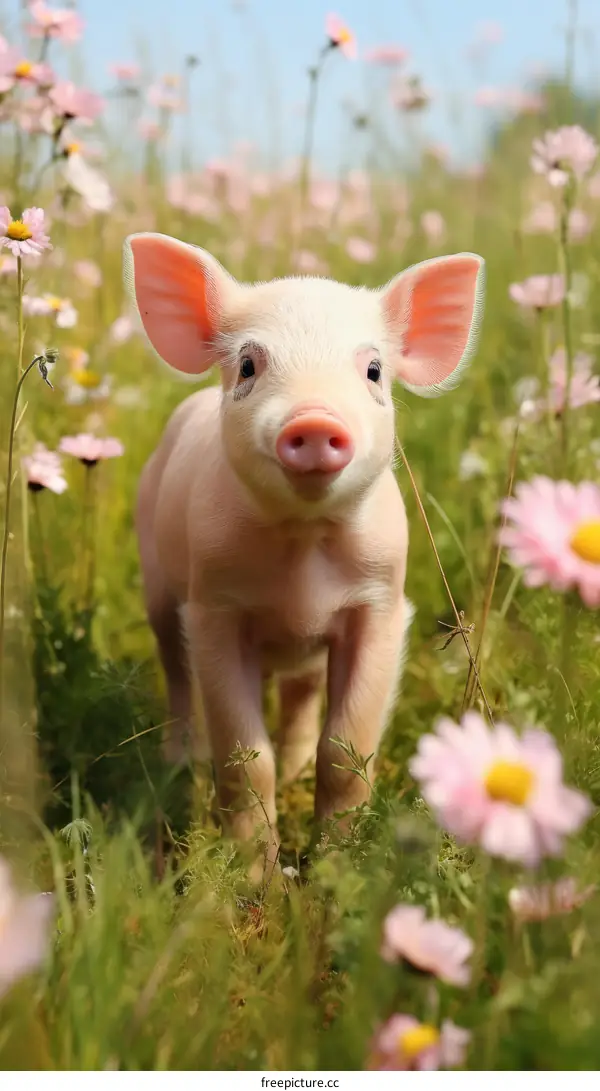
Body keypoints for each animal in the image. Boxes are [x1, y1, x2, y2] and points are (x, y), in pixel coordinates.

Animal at [123, 233, 485, 875]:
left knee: (299, 693)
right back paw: (178, 761)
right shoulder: (213, 609)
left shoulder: (380, 605)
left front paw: (336, 870)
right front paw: (257, 879)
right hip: (159, 589)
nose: (314, 418)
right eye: (248, 365)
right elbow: (246, 758)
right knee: (175, 674)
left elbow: (345, 753)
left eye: (373, 370)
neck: (303, 555)